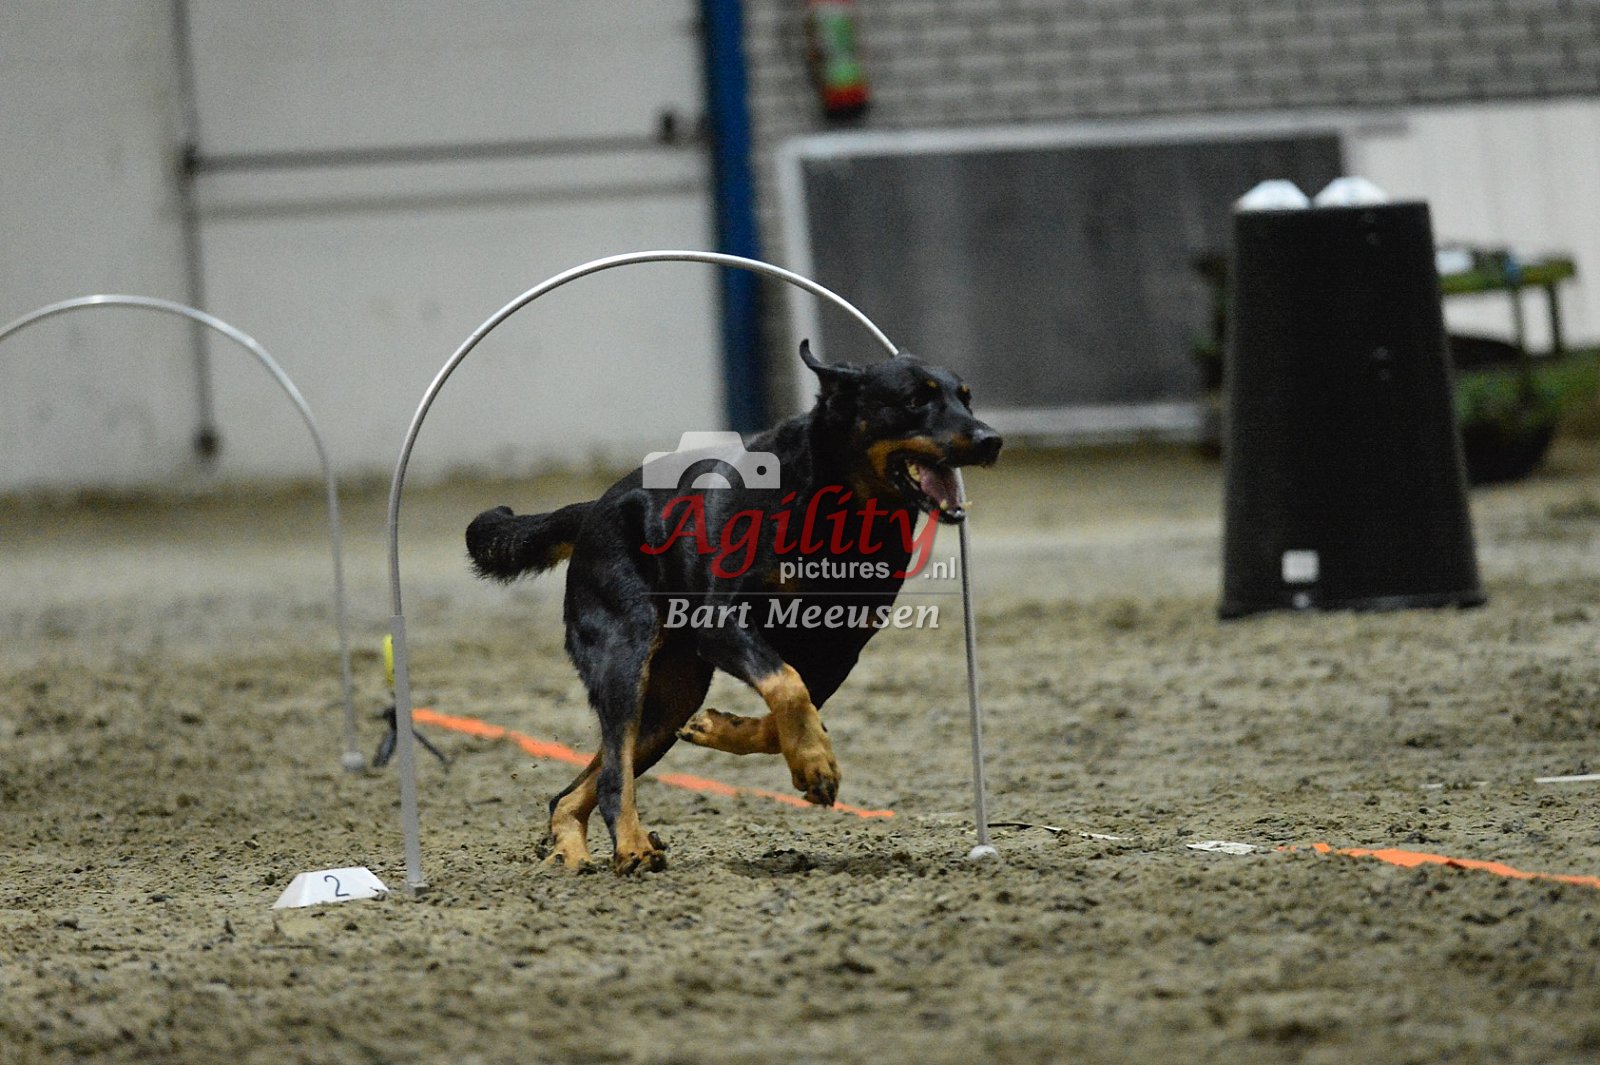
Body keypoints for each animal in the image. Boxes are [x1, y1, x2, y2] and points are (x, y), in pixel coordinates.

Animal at [465, 341, 1002, 874]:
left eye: (966, 397)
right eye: (915, 399)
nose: (991, 439)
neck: (838, 512)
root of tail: (595, 507)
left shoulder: (839, 650)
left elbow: (788, 707)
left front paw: (731, 732)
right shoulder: (723, 623)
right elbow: (787, 685)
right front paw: (814, 762)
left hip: (669, 700)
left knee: (578, 788)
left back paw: (575, 852)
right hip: (624, 658)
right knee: (615, 773)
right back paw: (632, 847)